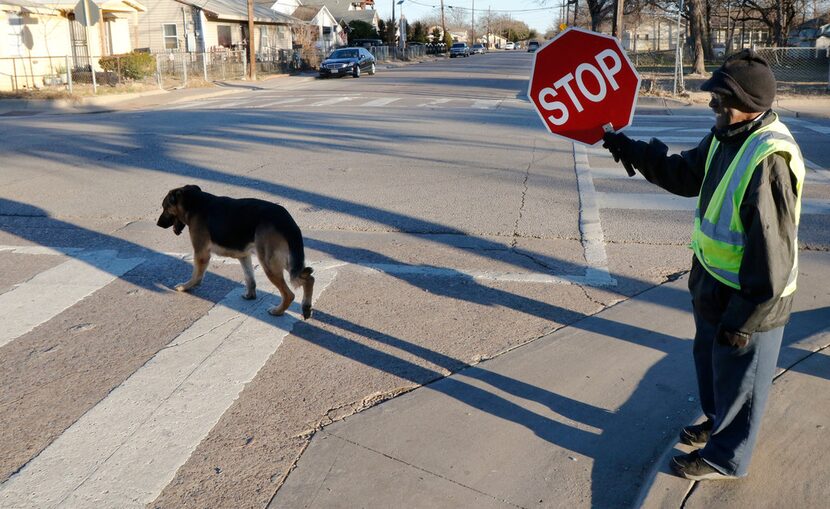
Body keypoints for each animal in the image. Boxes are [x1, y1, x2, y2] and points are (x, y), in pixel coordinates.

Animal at [157, 183, 316, 318]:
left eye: (164, 207)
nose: (158, 224)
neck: (194, 203)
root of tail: (288, 221)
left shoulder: (201, 253)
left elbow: (196, 276)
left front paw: (186, 287)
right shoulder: (244, 256)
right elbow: (249, 278)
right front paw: (250, 295)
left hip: (269, 262)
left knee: (289, 294)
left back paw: (278, 311)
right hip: (284, 260)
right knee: (309, 278)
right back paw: (306, 307)